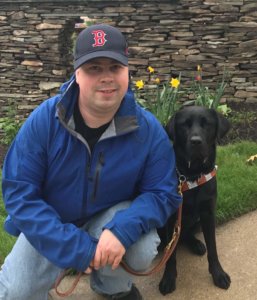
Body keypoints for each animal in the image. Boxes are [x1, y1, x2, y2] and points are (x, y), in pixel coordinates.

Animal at [157, 105, 231, 296]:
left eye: (207, 124)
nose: (196, 141)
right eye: (185, 125)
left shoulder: (208, 213)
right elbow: (171, 253)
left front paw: (218, 274)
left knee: (186, 234)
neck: (191, 177)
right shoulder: (171, 218)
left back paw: (196, 244)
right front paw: (168, 278)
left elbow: (212, 247)